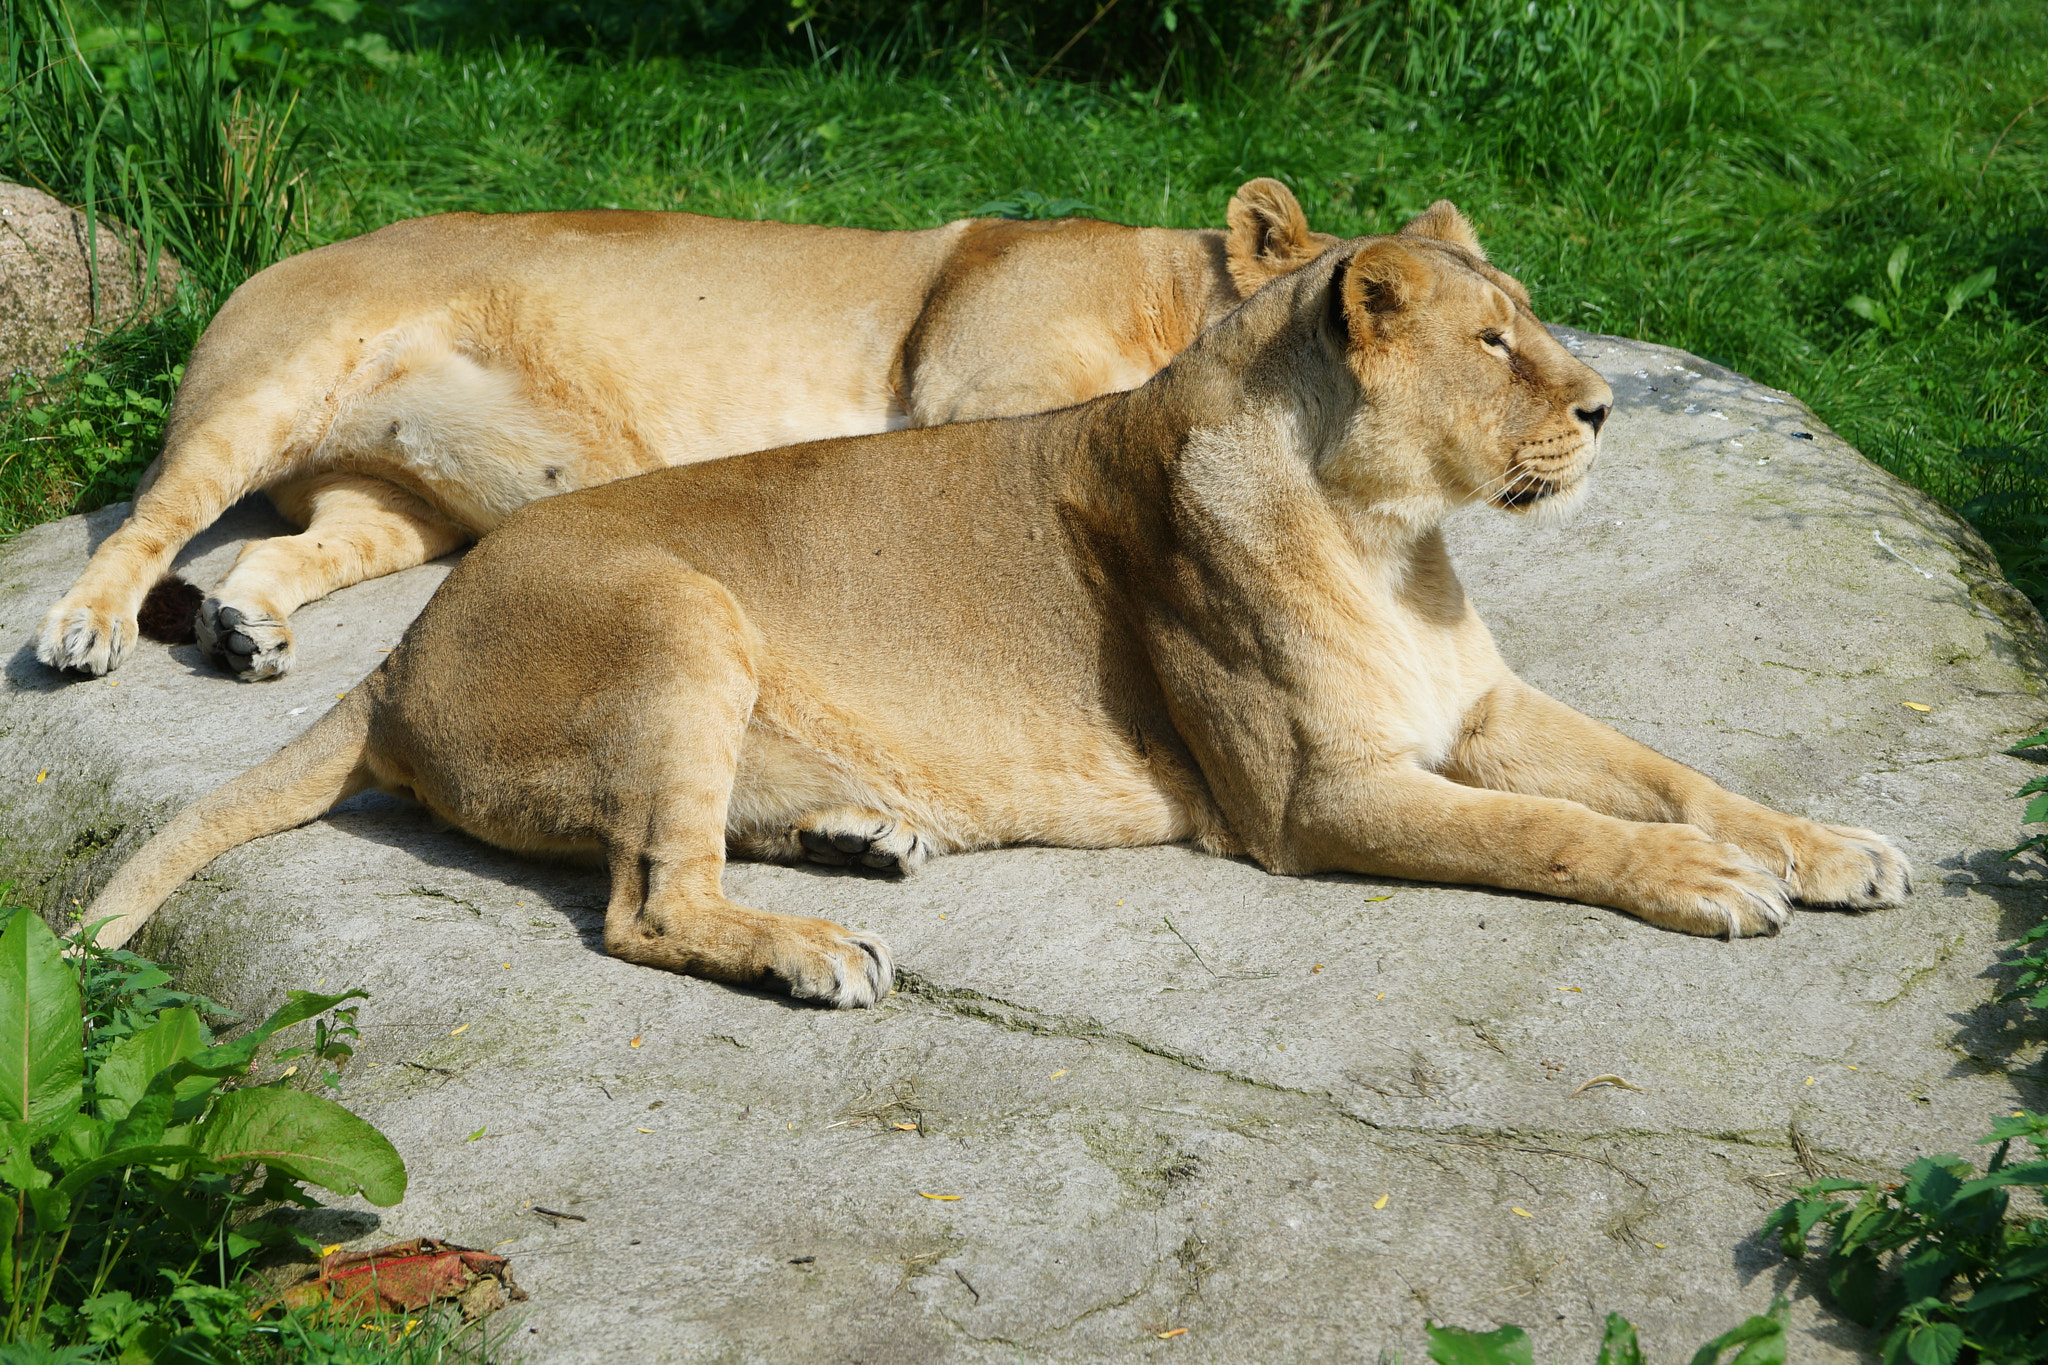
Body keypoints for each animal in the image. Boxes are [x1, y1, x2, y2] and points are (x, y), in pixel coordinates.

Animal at [36, 180, 1334, 682]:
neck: (1172, 285)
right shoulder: (975, 391)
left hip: (400, 508)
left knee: (273, 548)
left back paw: (246, 630)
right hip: (273, 381)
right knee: (150, 520)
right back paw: (84, 631)